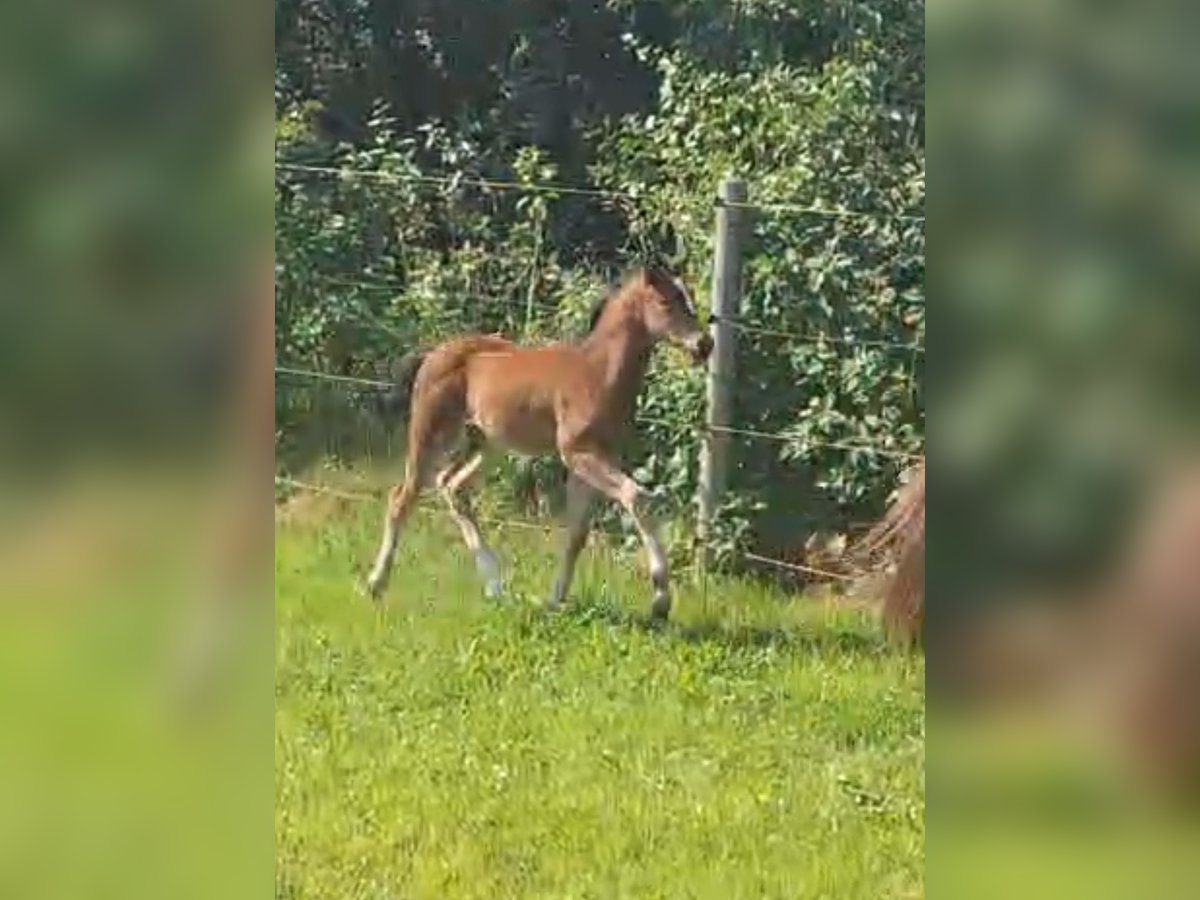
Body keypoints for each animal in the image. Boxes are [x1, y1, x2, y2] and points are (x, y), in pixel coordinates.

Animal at [360, 266, 705, 619]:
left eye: (688, 298)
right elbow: (637, 498)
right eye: (665, 301)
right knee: (402, 497)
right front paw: (661, 601)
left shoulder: (598, 458)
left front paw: (555, 600)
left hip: (487, 443)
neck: (598, 373)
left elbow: (577, 534)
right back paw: (376, 584)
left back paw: (495, 585)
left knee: (452, 486)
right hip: (432, 433)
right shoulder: (578, 453)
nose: (704, 344)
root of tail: (432, 354)